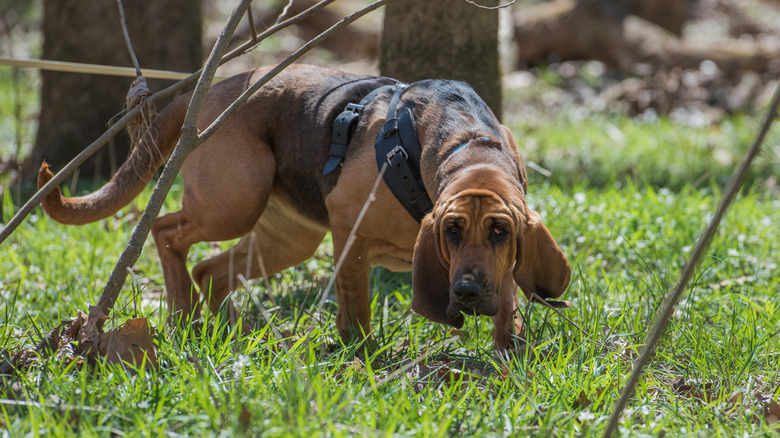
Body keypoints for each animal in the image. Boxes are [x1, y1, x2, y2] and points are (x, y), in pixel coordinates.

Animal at [38, 63, 572, 350]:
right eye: (452, 232)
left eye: (501, 233)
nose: (465, 292)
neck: (468, 145)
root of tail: (212, 89)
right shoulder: (350, 236)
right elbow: (356, 308)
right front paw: (362, 356)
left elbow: (508, 308)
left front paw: (508, 354)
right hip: (235, 203)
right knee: (166, 231)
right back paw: (183, 312)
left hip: (289, 238)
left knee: (211, 270)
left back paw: (226, 329)